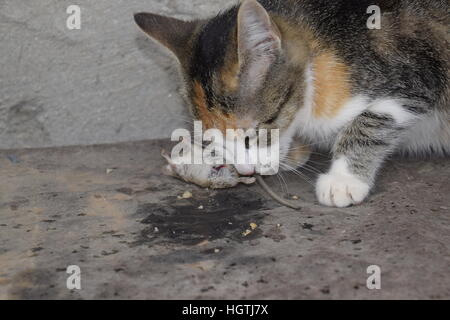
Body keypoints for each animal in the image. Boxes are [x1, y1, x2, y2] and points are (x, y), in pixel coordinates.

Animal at [134, 0, 450, 208]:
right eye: (210, 141)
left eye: (251, 136)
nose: (246, 171)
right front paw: (294, 153)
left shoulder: (414, 73)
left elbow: (373, 119)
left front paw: (344, 179)